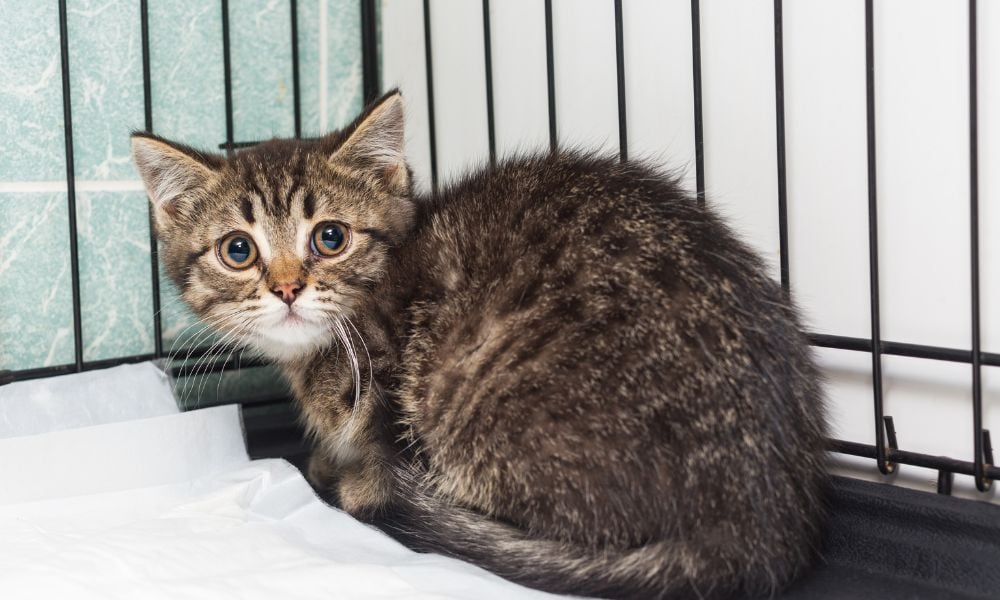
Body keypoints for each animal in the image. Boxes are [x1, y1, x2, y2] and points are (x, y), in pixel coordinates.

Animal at [135, 90, 836, 600]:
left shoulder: (387, 389)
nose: (285, 288)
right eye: (238, 250)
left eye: (330, 237)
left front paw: (350, 476)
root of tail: (755, 522)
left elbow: (377, 459)